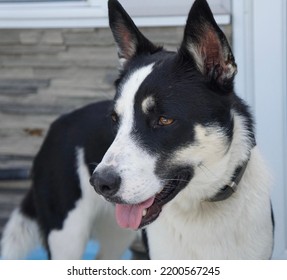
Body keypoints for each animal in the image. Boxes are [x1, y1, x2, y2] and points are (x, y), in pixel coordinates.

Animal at [0, 0, 274, 260]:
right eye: (114, 119)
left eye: (164, 120)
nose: (100, 183)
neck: (202, 206)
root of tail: (57, 124)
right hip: (67, 237)